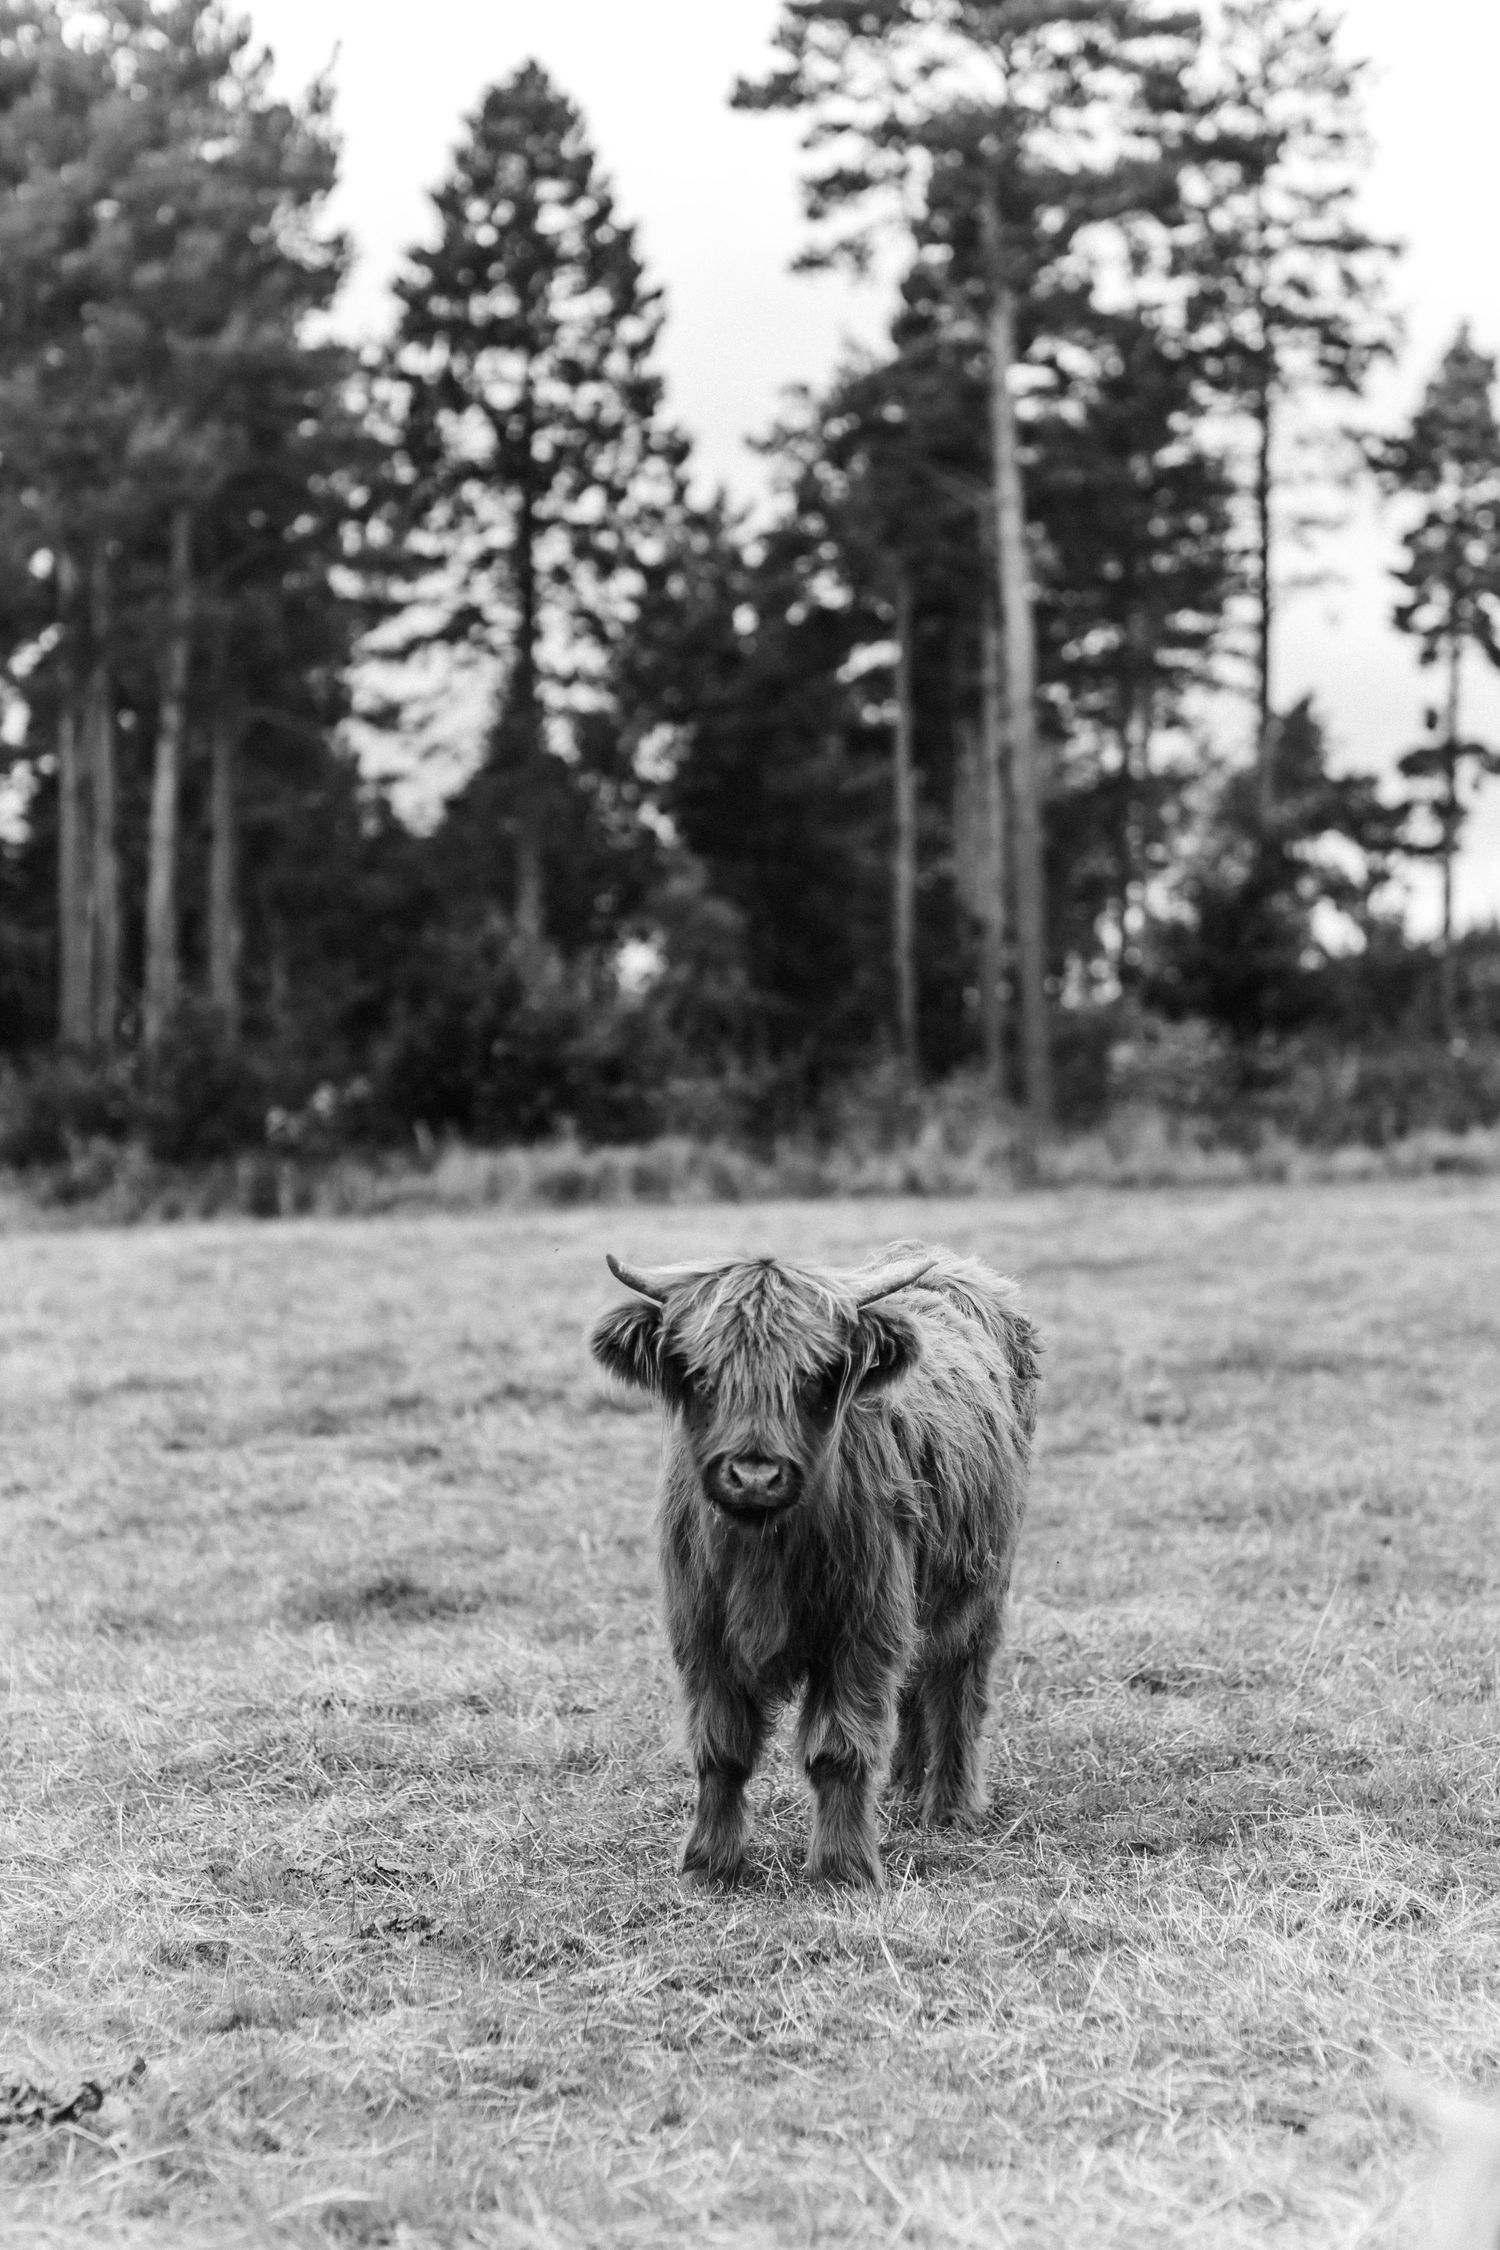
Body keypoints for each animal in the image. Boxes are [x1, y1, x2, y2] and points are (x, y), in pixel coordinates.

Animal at [589, 1241, 1040, 1888]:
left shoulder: (862, 1627)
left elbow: (839, 1749)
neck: (764, 1551)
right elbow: (720, 1748)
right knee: (916, 1679)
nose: (754, 1475)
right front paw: (708, 1863)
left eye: (814, 1377)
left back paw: (951, 1808)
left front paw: (842, 1868)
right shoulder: (700, 1630)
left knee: (958, 1685)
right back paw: (904, 1786)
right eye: (701, 1376)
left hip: (984, 1581)